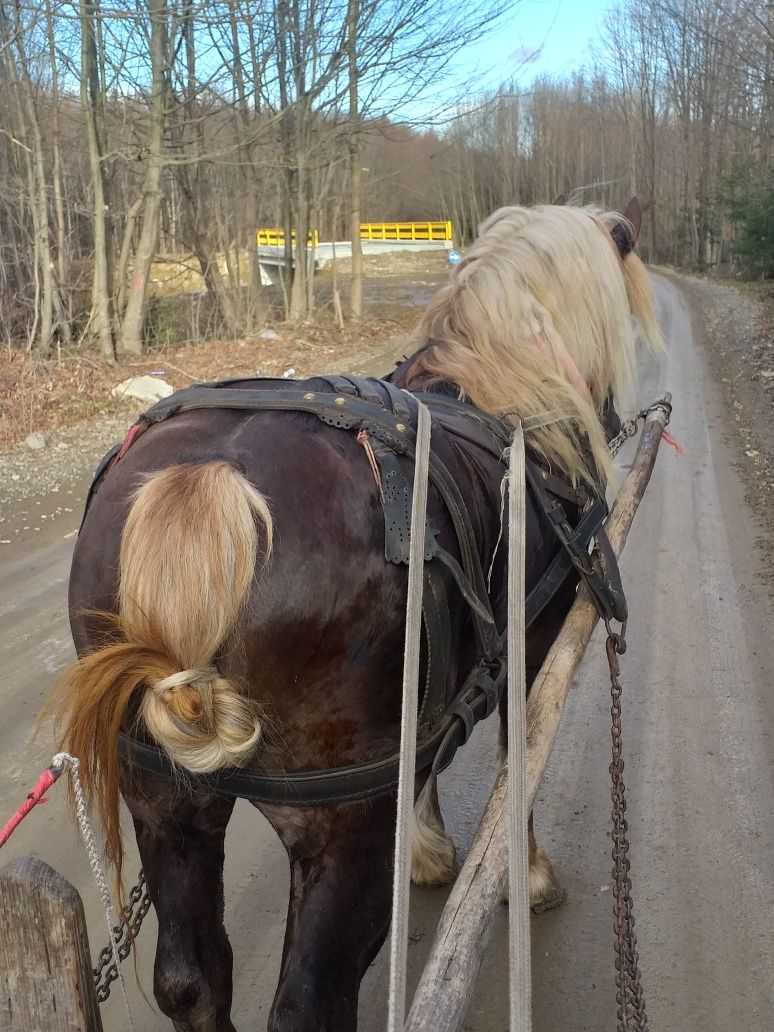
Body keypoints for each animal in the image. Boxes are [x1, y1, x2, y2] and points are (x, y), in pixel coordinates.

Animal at [51, 197, 664, 1027]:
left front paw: (429, 852)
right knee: (309, 1001)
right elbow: (517, 765)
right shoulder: (530, 649)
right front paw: (526, 878)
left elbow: (436, 763)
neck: (505, 391)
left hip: (163, 802)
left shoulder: (436, 695)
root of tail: (206, 482)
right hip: (339, 831)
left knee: (191, 979)